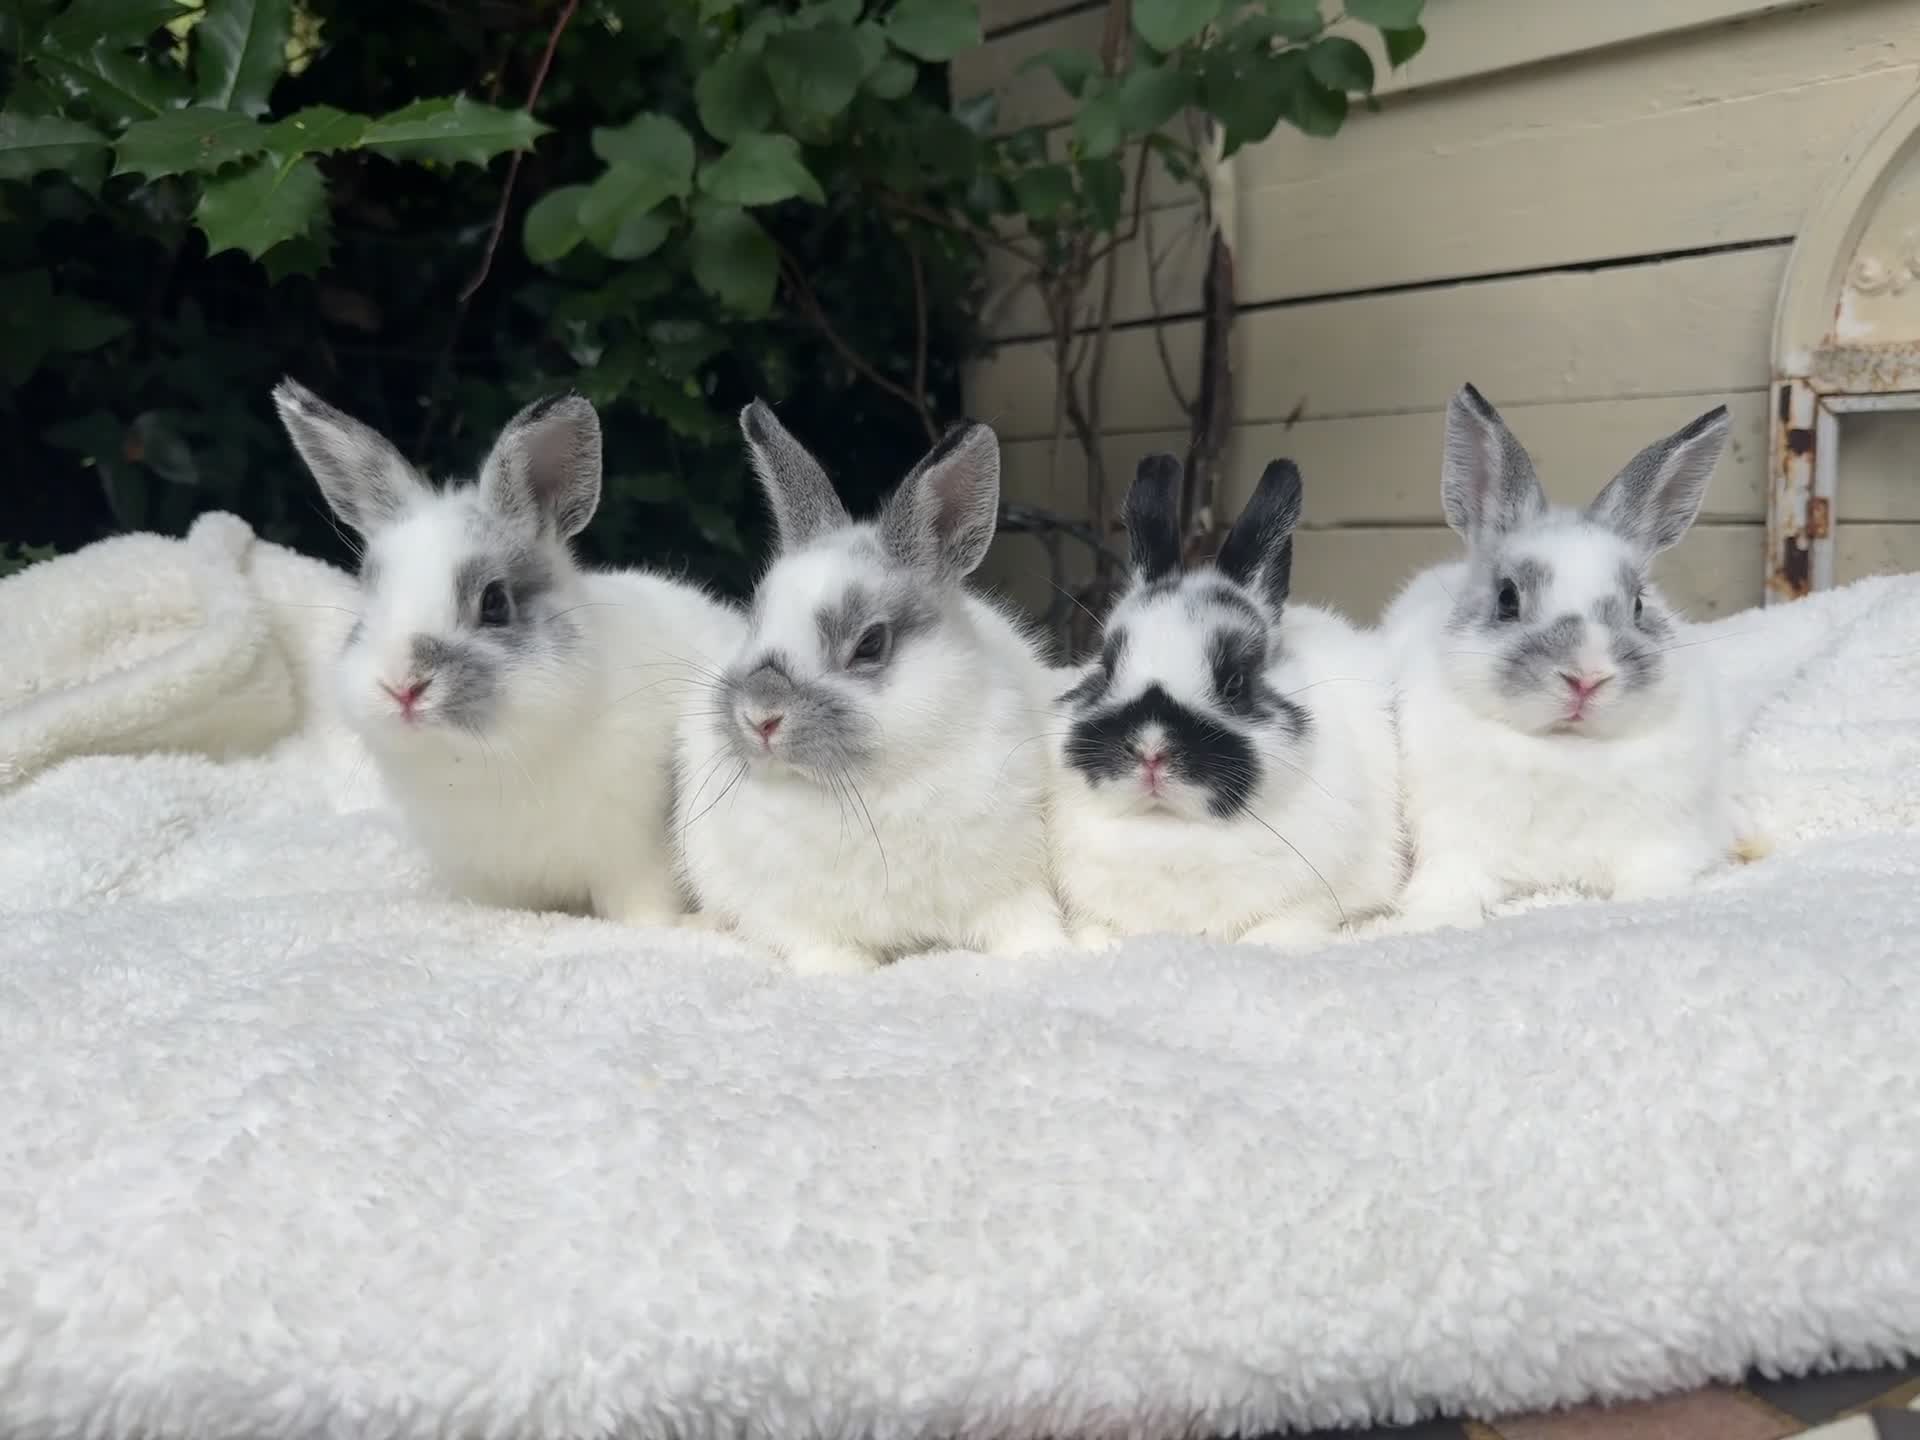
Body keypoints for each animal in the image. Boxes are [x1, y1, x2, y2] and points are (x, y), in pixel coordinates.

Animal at [273, 379, 745, 928]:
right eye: (368, 602)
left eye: (495, 603)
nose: (402, 688)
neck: (486, 760)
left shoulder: (636, 858)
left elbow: (643, 906)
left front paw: (657, 927)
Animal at [672, 401, 1069, 975]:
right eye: (755, 620)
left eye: (870, 644)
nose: (760, 716)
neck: (871, 787)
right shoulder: (788, 914)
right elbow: (820, 948)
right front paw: (841, 973)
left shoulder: (1011, 888)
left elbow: (1029, 926)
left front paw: (1051, 955)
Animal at [1050, 453, 1403, 950]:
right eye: (1105, 667)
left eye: (1235, 682)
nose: (1151, 749)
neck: (1168, 832)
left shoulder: (1314, 901)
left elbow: (1282, 928)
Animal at [1382, 381, 1738, 931]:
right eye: (1507, 598)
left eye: (1639, 605)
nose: (1586, 678)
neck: (1566, 750)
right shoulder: (1455, 845)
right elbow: (1450, 887)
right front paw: (1438, 921)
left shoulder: (1662, 841)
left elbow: (1653, 879)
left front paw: (1652, 905)